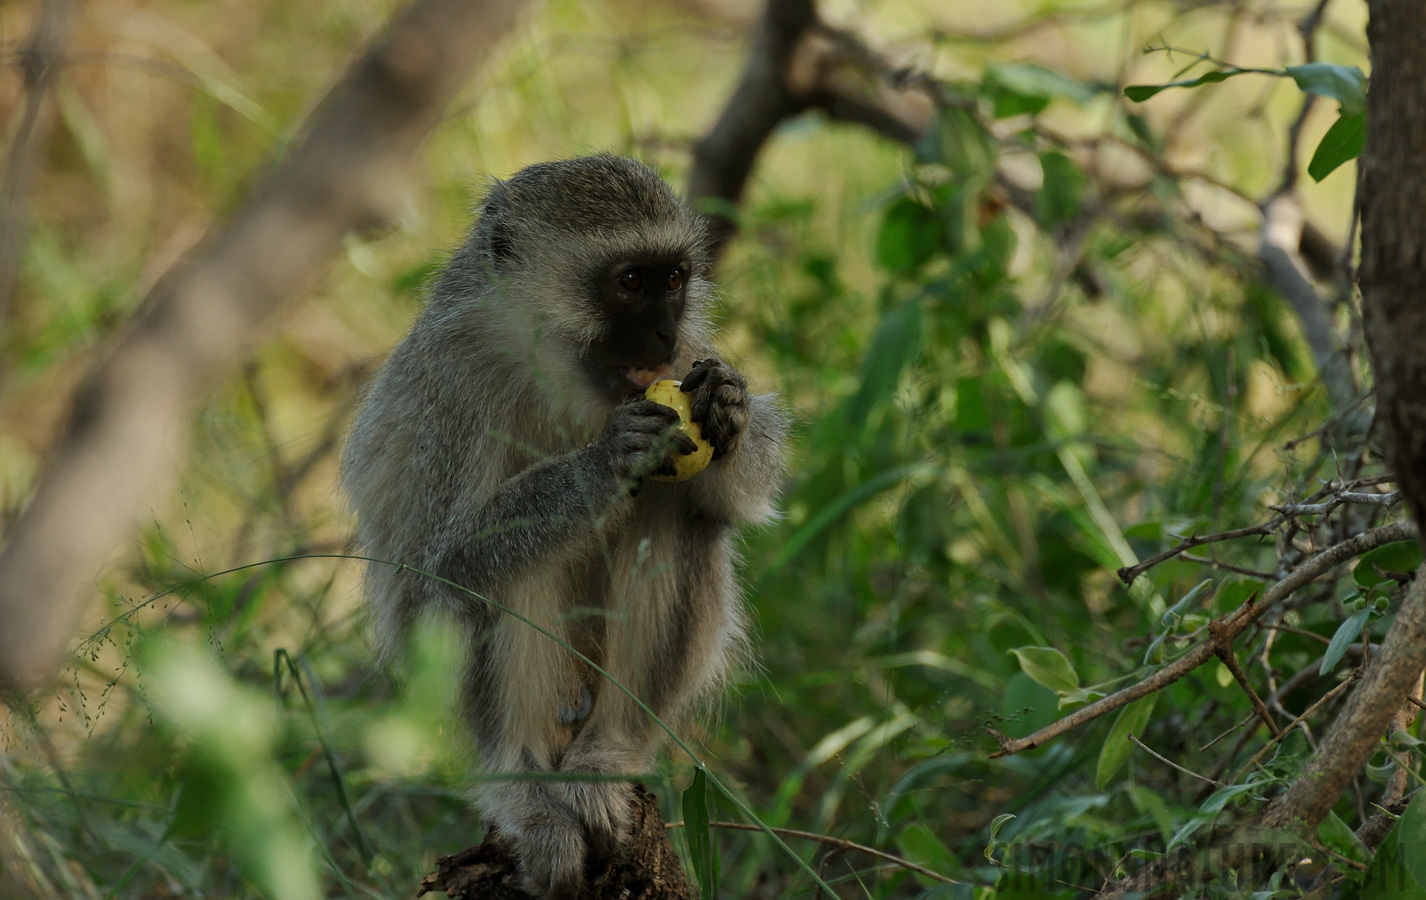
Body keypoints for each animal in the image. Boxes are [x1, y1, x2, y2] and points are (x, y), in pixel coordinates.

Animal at [342, 156, 792, 900]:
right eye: (630, 282)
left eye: (674, 279)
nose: (663, 336)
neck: (553, 362)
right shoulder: (454, 380)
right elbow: (442, 562)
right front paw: (599, 464)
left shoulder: (688, 356)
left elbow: (740, 500)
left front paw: (729, 406)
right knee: (494, 580)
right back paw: (524, 793)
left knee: (677, 513)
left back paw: (608, 754)